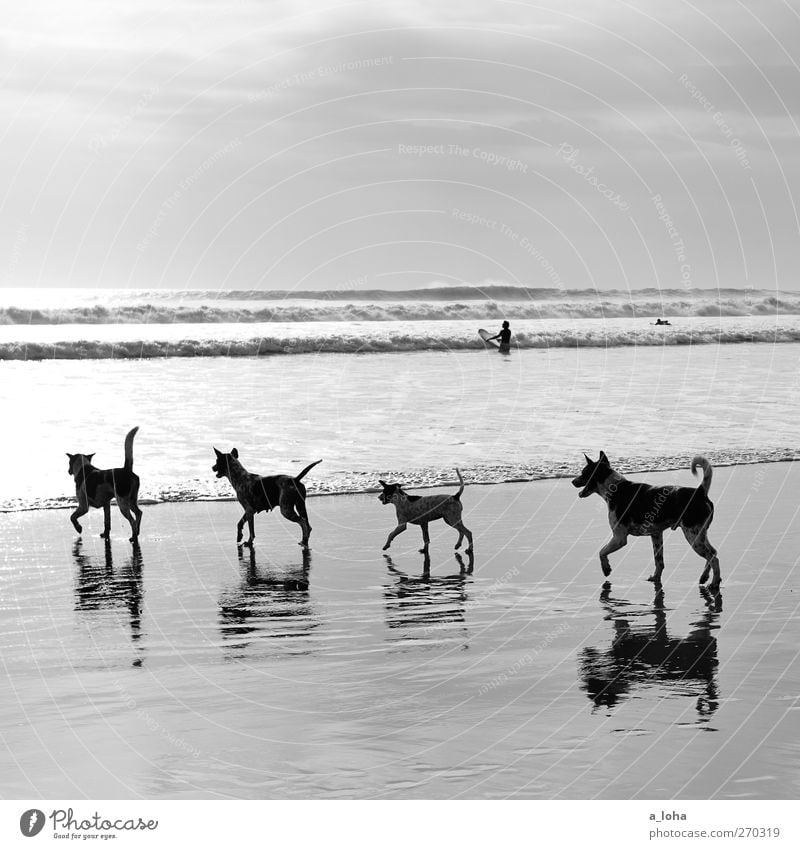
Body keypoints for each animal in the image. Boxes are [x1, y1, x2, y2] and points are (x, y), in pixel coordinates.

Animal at [572, 450, 720, 588]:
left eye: (584, 473)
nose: (573, 481)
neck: (616, 489)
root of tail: (700, 492)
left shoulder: (619, 538)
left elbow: (602, 551)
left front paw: (606, 569)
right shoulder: (656, 535)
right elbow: (659, 561)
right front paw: (656, 578)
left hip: (693, 536)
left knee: (713, 558)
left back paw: (714, 583)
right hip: (701, 534)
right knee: (713, 552)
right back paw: (704, 577)